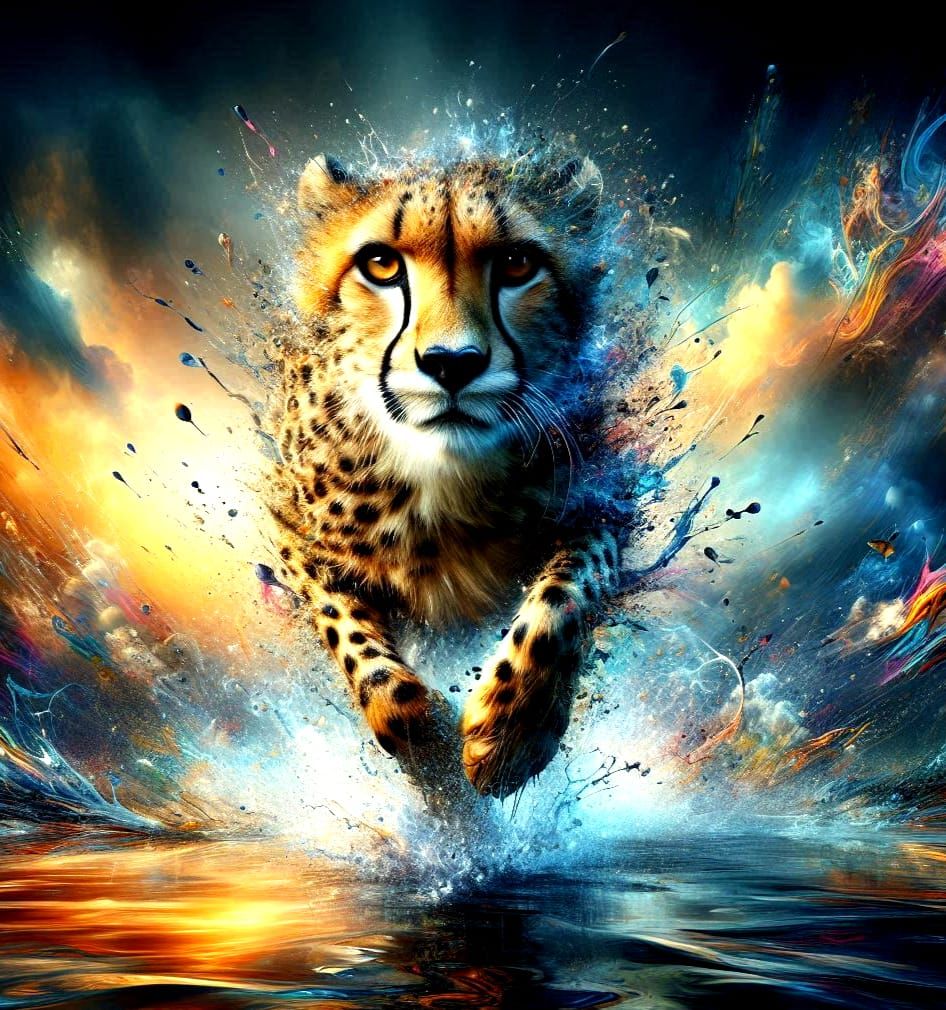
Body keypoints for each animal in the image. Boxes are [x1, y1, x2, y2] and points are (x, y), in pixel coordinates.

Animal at [266, 150, 625, 798]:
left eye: (517, 263)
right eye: (381, 264)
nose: (451, 364)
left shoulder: (610, 498)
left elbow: (566, 594)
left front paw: (511, 733)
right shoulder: (288, 531)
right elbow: (341, 622)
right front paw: (413, 728)